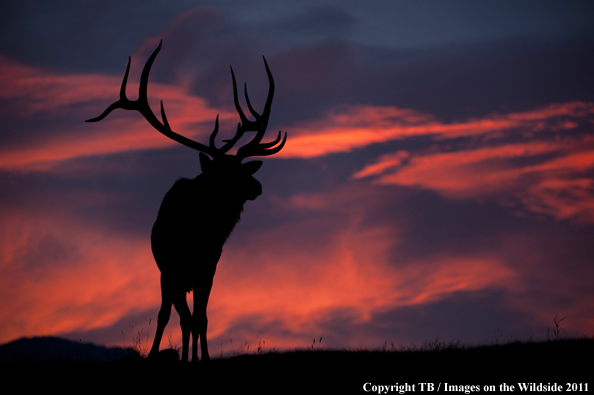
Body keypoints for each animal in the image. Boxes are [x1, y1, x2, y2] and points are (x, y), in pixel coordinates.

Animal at [85, 41, 284, 364]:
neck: (198, 234)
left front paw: (204, 359)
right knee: (169, 315)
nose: (258, 186)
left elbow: (201, 319)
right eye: (224, 173)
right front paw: (169, 356)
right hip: (167, 277)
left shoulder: (208, 271)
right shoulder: (172, 272)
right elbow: (177, 318)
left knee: (188, 319)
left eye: (243, 168)